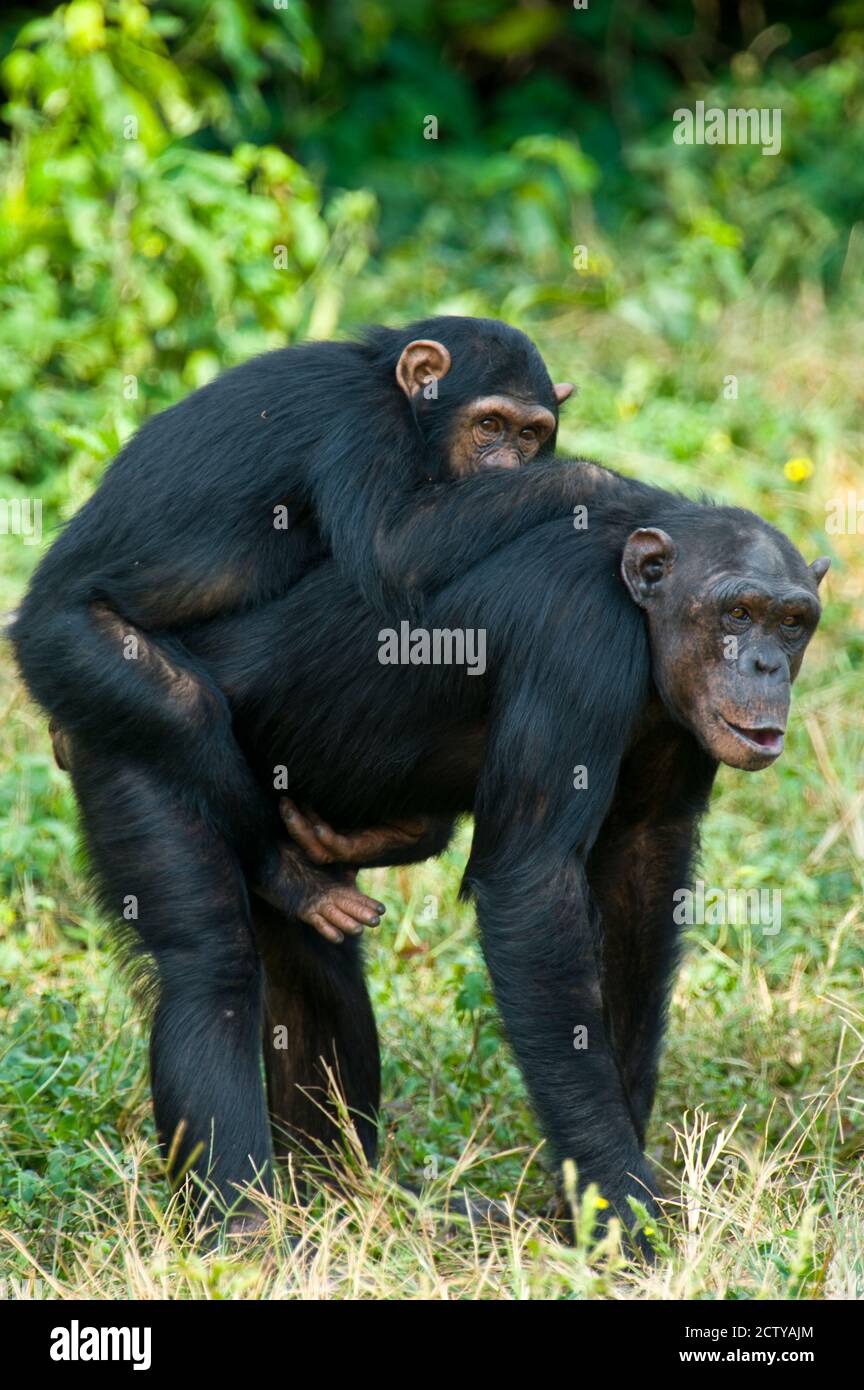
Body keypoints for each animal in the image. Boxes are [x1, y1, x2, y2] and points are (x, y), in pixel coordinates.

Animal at [11, 316, 583, 945]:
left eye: (530, 434)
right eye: (488, 425)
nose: (508, 466)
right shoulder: (363, 423)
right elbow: (394, 545)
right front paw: (602, 486)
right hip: (64, 644)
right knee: (183, 710)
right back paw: (287, 877)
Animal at [50, 458, 827, 1251]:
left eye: (793, 623)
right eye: (738, 614)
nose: (765, 664)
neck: (645, 621)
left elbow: (642, 875)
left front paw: (590, 1201)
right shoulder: (577, 636)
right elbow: (533, 882)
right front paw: (621, 1202)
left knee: (311, 973)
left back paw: (337, 1196)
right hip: (127, 731)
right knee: (210, 967)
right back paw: (247, 1234)